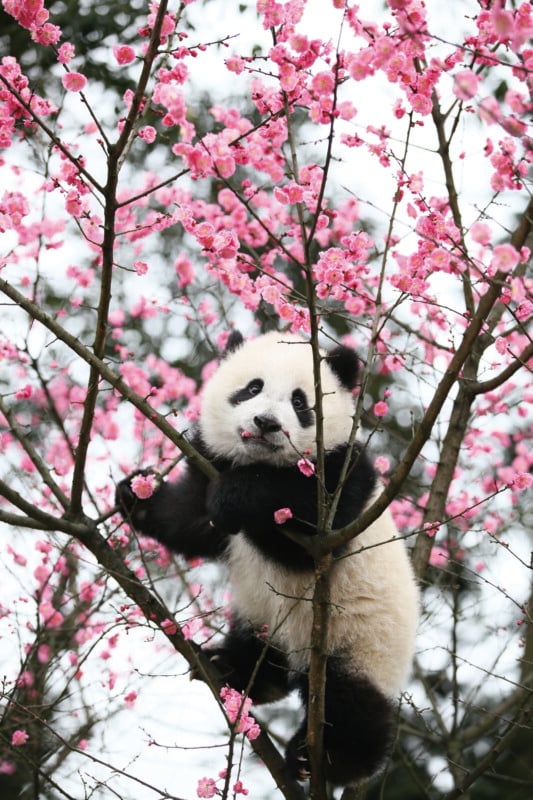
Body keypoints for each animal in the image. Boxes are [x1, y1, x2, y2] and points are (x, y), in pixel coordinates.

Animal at [116, 330, 419, 787]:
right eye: (252, 388)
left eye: (300, 402)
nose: (267, 424)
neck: (259, 460)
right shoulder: (211, 463)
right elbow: (192, 518)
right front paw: (138, 495)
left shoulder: (340, 484)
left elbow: (301, 532)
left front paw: (236, 496)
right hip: (263, 618)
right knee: (260, 650)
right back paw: (233, 668)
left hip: (364, 642)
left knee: (351, 705)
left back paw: (323, 758)